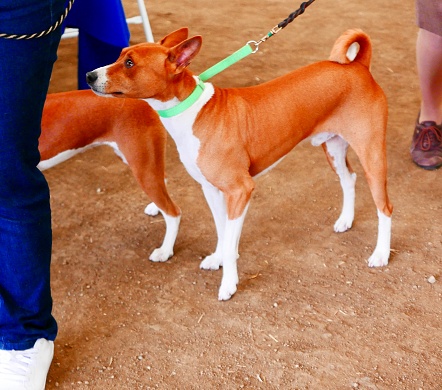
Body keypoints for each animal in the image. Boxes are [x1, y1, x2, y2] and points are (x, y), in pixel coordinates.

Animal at [39, 89, 180, 262]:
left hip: (142, 168)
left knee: (173, 212)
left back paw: (165, 251)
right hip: (142, 163)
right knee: (163, 181)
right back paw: (155, 207)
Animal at [86, 28, 394, 302]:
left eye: (130, 63)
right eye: (120, 55)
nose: (89, 75)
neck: (193, 113)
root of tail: (357, 66)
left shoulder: (240, 189)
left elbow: (230, 235)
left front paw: (228, 284)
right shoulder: (212, 190)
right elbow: (223, 232)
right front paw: (219, 258)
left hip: (372, 155)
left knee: (384, 207)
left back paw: (380, 254)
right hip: (333, 147)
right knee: (349, 179)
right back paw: (345, 220)